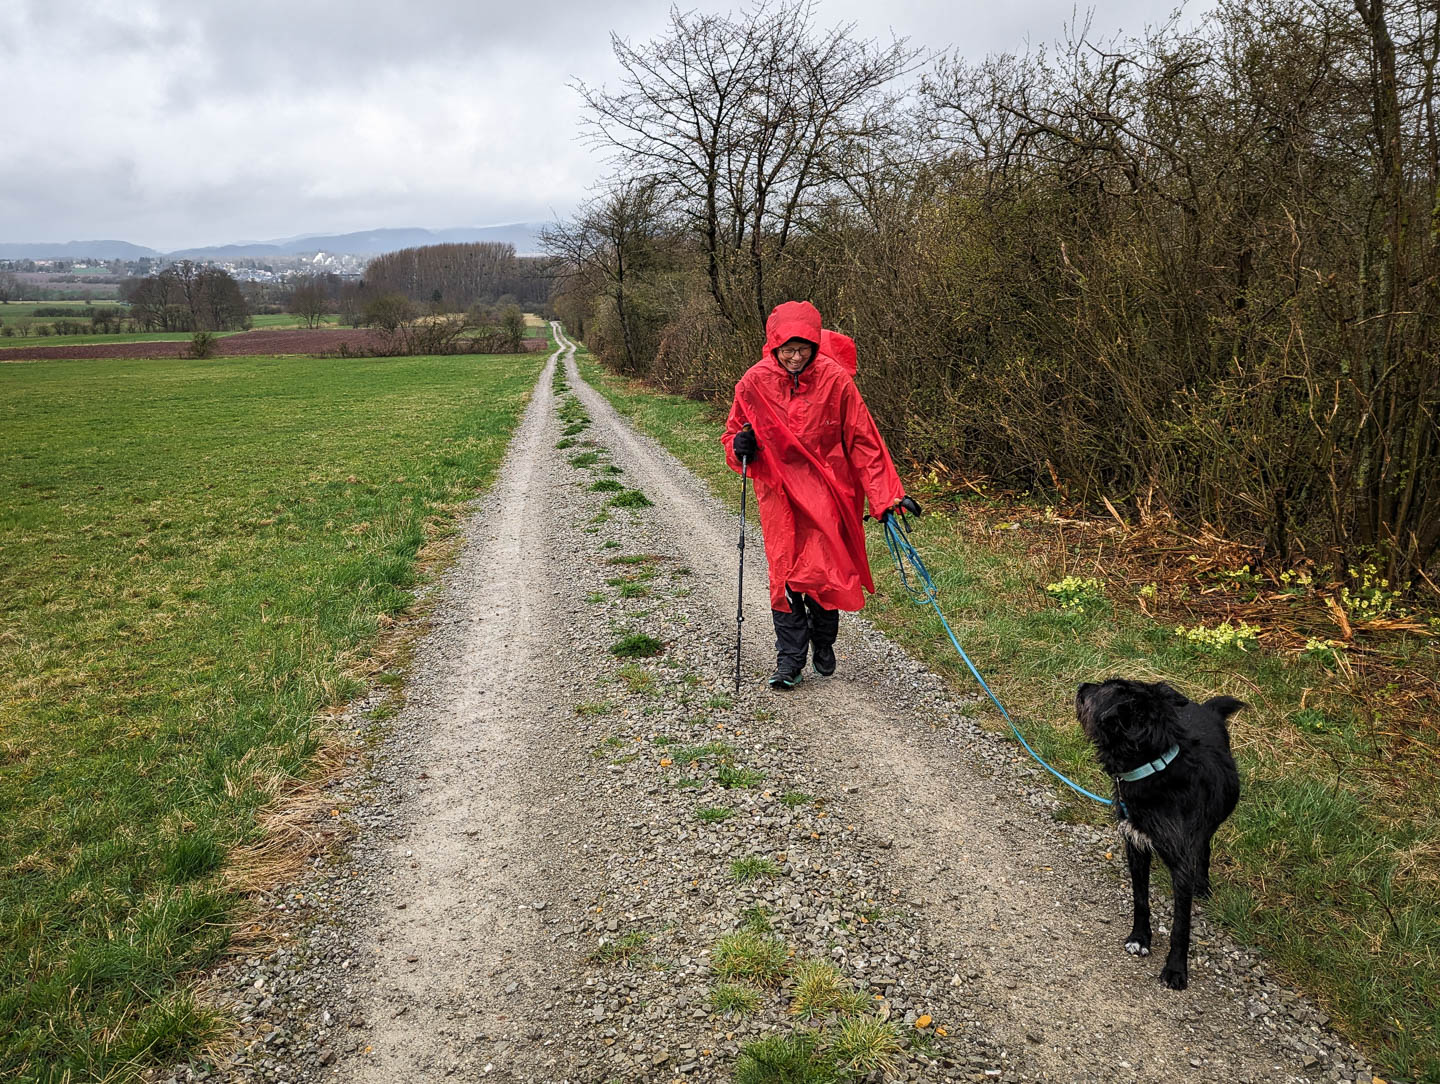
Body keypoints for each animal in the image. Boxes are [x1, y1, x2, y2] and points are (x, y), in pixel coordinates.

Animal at [1077, 676, 1244, 990]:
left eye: (1102, 689)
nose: (1082, 686)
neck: (1154, 770)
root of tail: (1206, 708)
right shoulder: (1136, 844)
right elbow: (1141, 899)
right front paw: (1140, 938)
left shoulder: (1182, 863)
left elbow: (1181, 924)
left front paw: (1176, 969)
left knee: (1205, 848)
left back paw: (1203, 886)